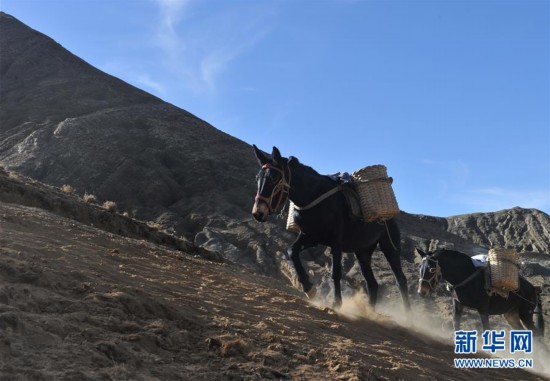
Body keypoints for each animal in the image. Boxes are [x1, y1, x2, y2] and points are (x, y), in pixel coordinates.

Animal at [252, 144, 412, 310]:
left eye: (273, 178)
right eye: (257, 178)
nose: (258, 213)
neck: (313, 195)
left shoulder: (336, 242)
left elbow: (335, 272)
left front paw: (336, 303)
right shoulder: (310, 238)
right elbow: (291, 251)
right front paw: (309, 289)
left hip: (389, 246)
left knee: (401, 280)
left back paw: (407, 314)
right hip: (362, 252)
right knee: (372, 284)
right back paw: (370, 311)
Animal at [418, 246, 548, 336]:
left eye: (432, 269)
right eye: (420, 267)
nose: (421, 292)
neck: (465, 275)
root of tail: (534, 288)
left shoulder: (483, 309)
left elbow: (486, 329)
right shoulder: (458, 304)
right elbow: (456, 324)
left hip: (526, 315)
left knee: (536, 336)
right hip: (512, 315)